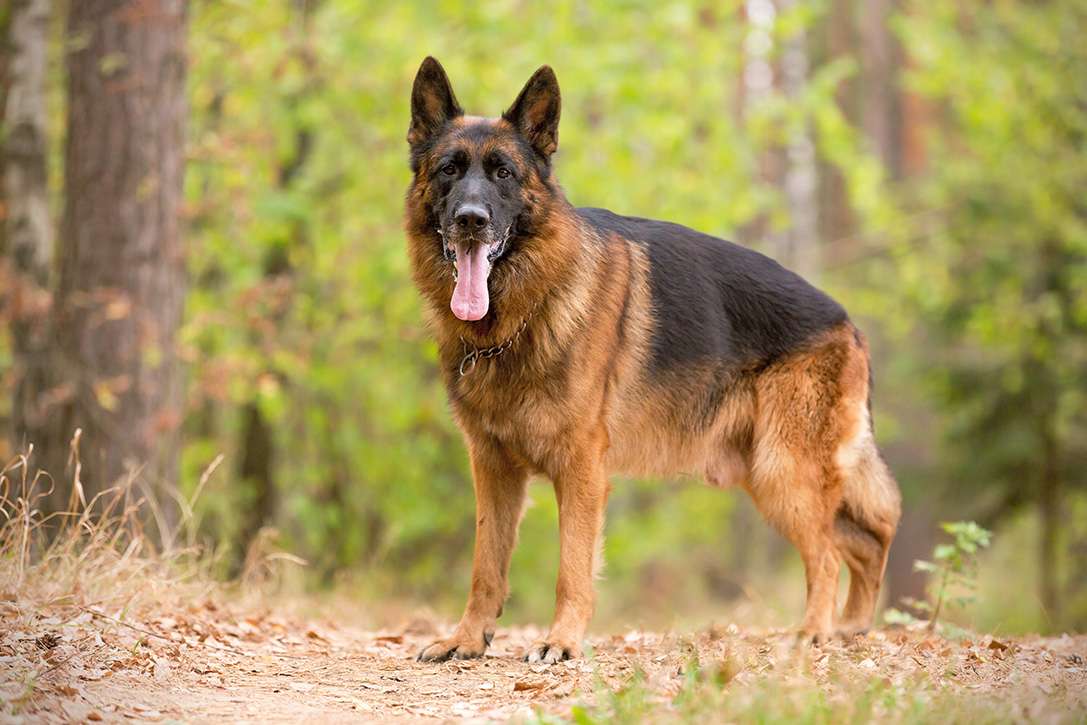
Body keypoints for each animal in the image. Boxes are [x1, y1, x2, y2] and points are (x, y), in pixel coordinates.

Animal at [406, 59, 900, 665]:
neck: (520, 317)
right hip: (769, 476)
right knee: (865, 540)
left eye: (503, 173)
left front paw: (562, 641)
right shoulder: (493, 467)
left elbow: (572, 568)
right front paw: (467, 638)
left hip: (783, 472)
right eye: (449, 170)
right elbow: (486, 566)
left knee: (831, 552)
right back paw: (851, 627)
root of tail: (846, 321)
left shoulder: (581, 468)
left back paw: (813, 632)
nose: (471, 220)